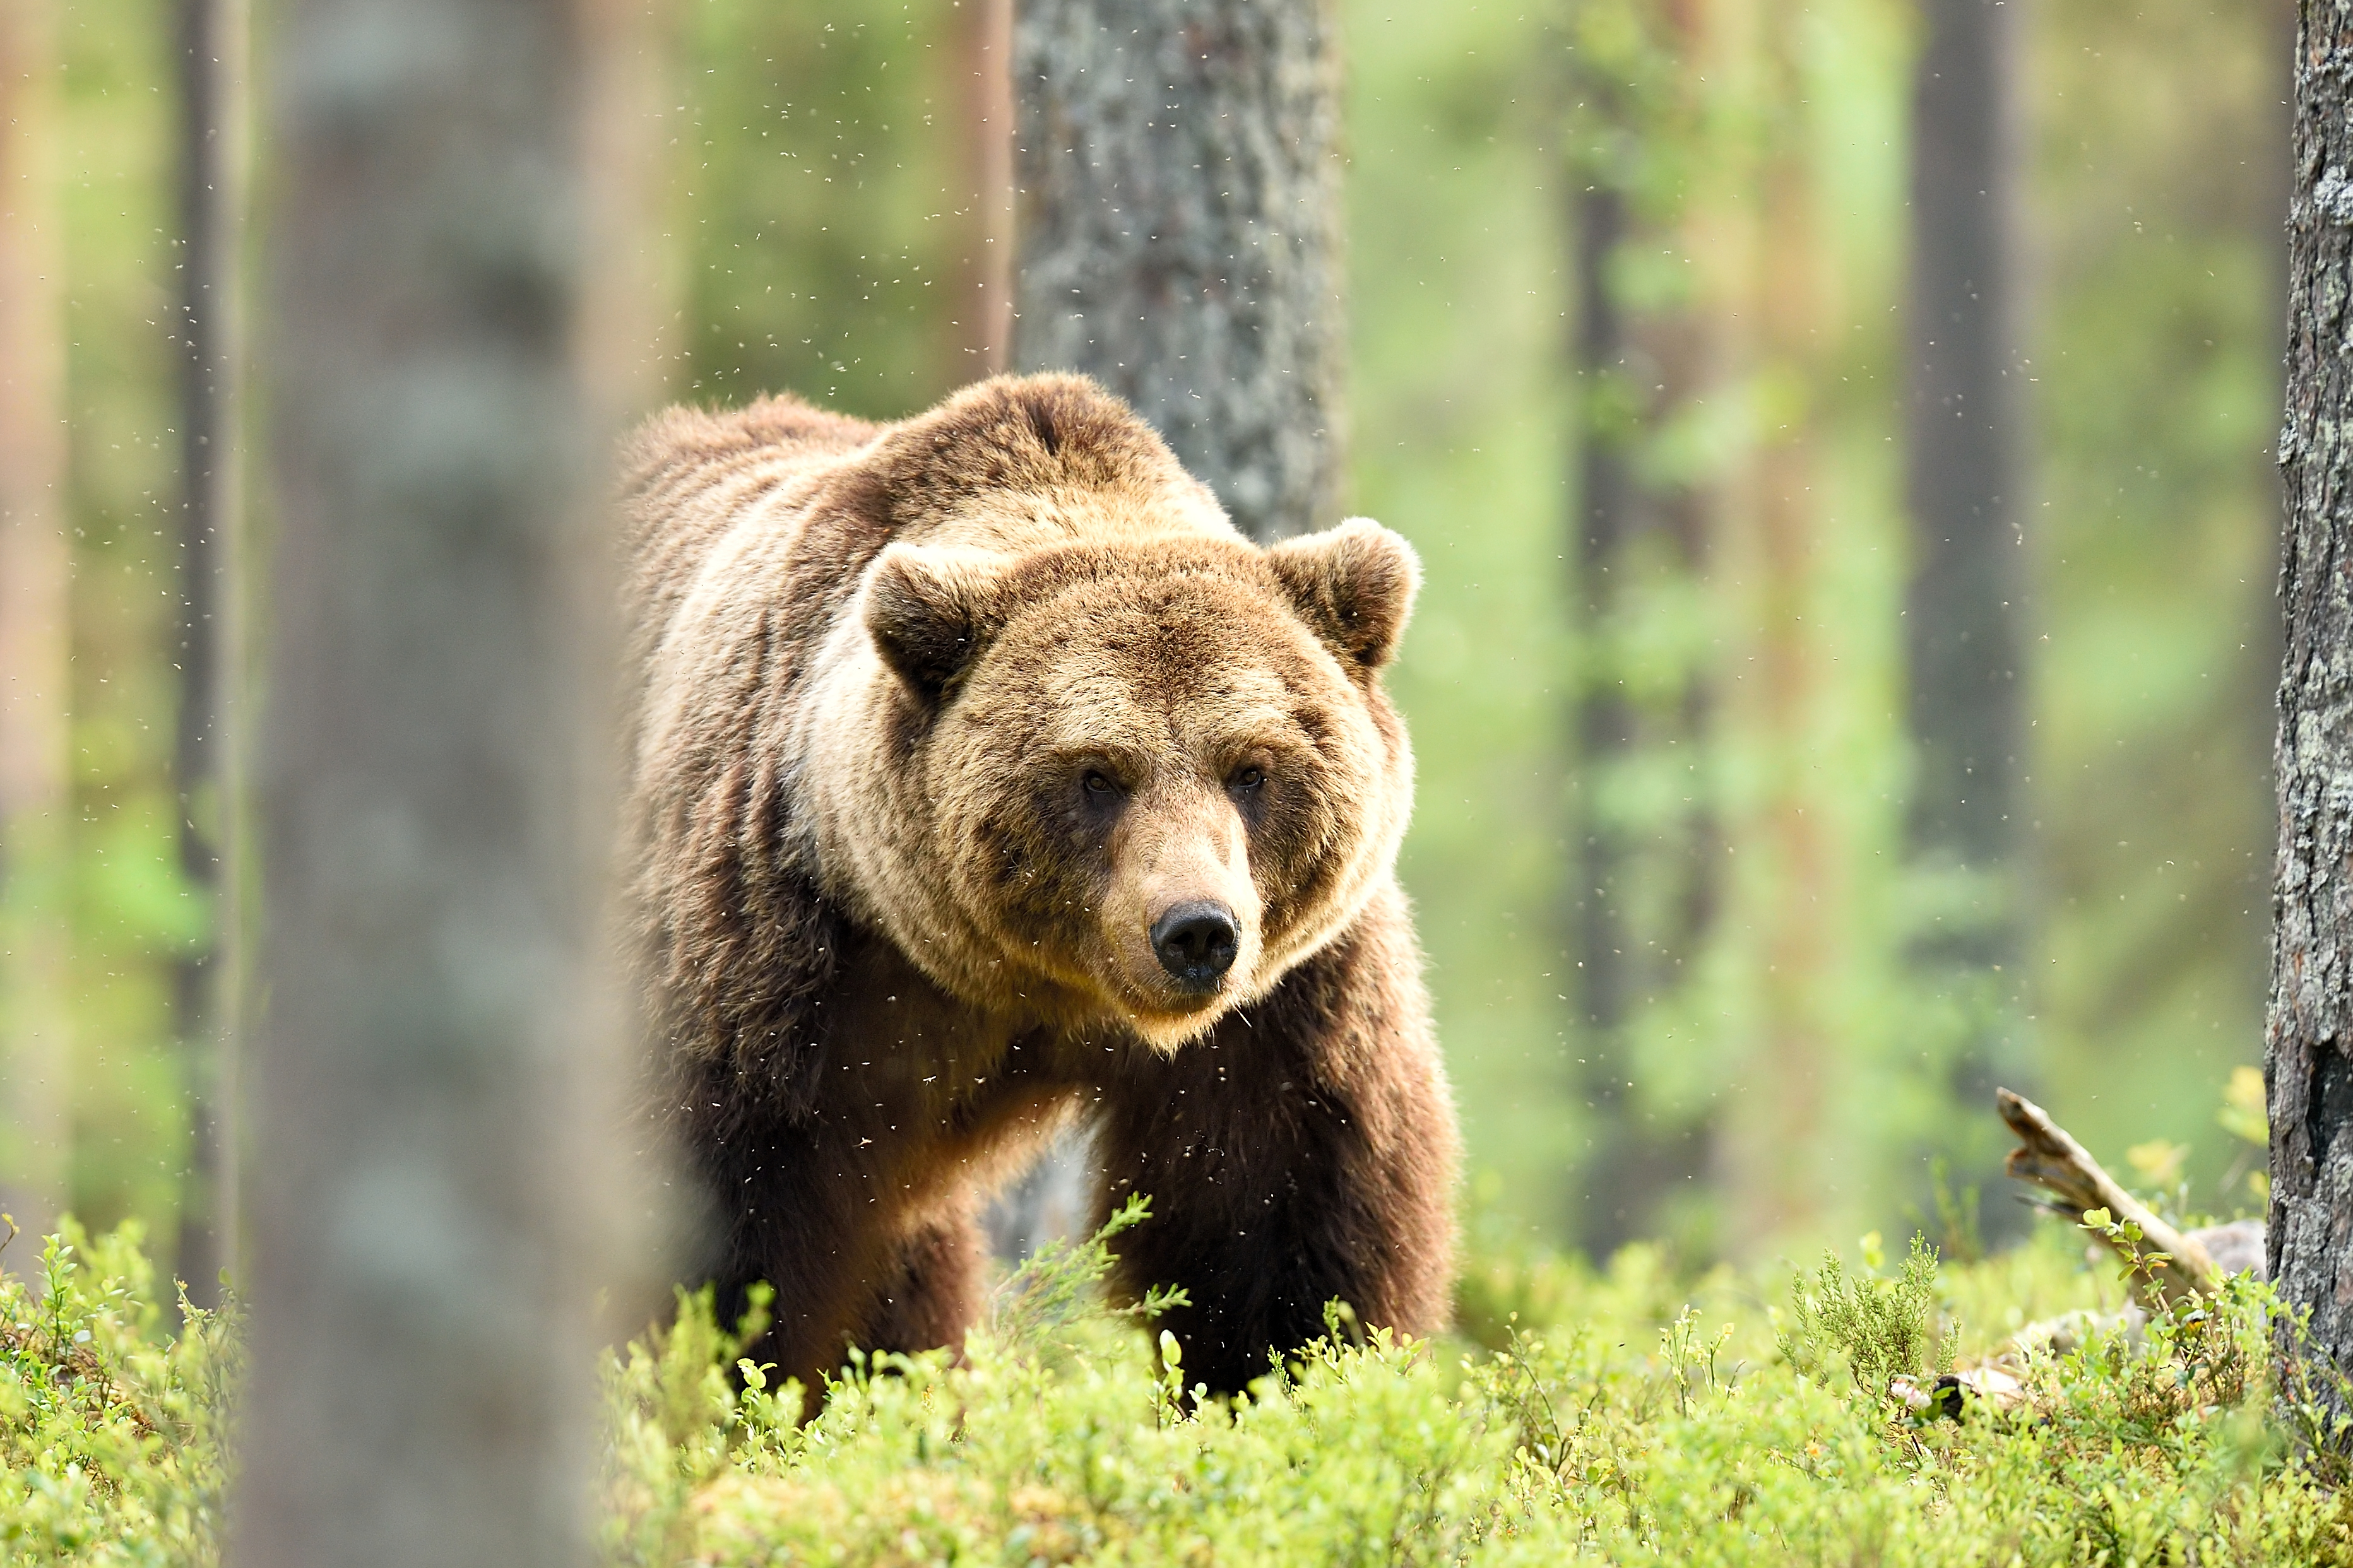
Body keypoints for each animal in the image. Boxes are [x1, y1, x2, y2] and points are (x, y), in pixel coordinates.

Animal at [621, 374, 1468, 1401]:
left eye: (1251, 767)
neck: (1034, 987)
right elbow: (728, 1243)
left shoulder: (1284, 1000)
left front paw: (1287, 1388)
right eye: (1097, 773)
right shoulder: (772, 958)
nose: (1196, 931)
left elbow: (1280, 1218)